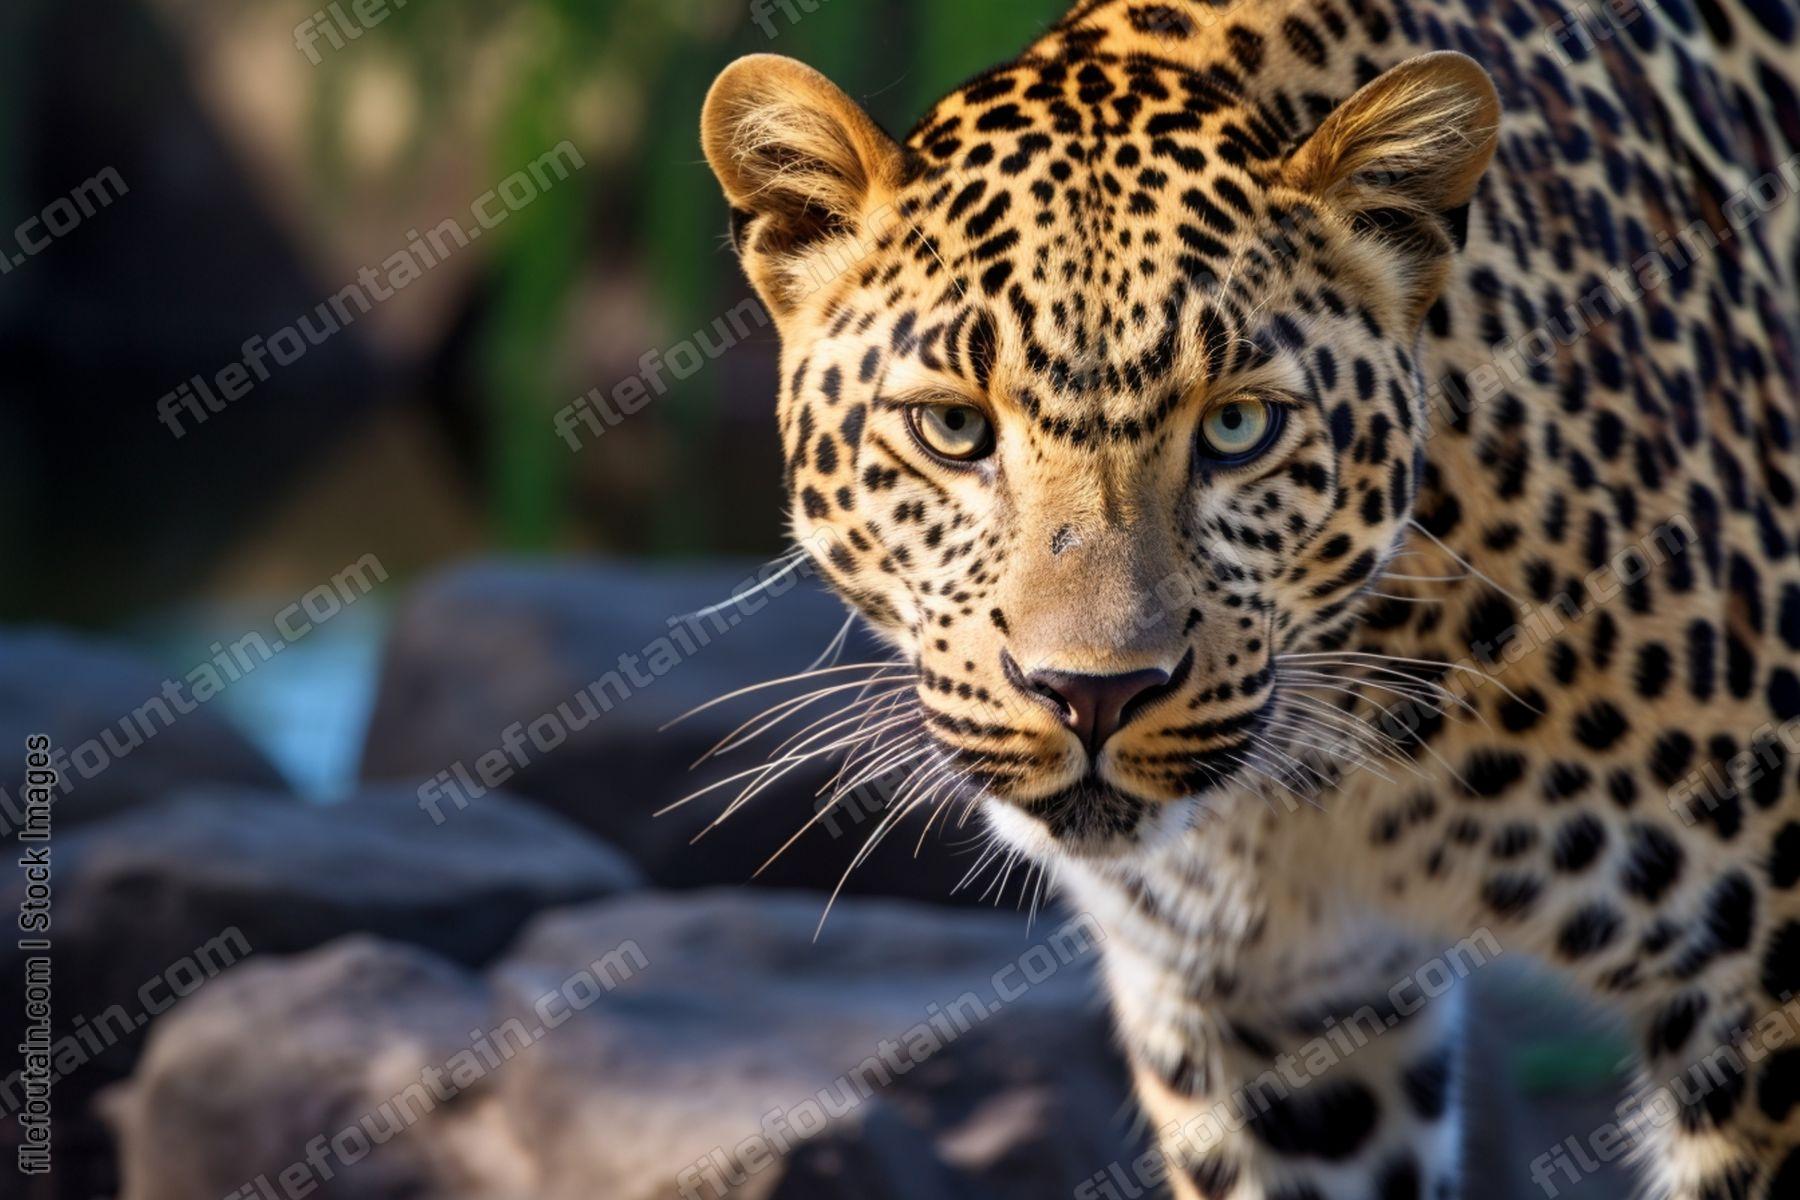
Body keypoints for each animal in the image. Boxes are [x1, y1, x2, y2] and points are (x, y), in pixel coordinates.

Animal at [698, 0, 1800, 1195]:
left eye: (1237, 427)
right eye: (953, 427)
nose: (1092, 696)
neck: (1335, 782)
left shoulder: (1760, 976)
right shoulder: (1271, 1013)